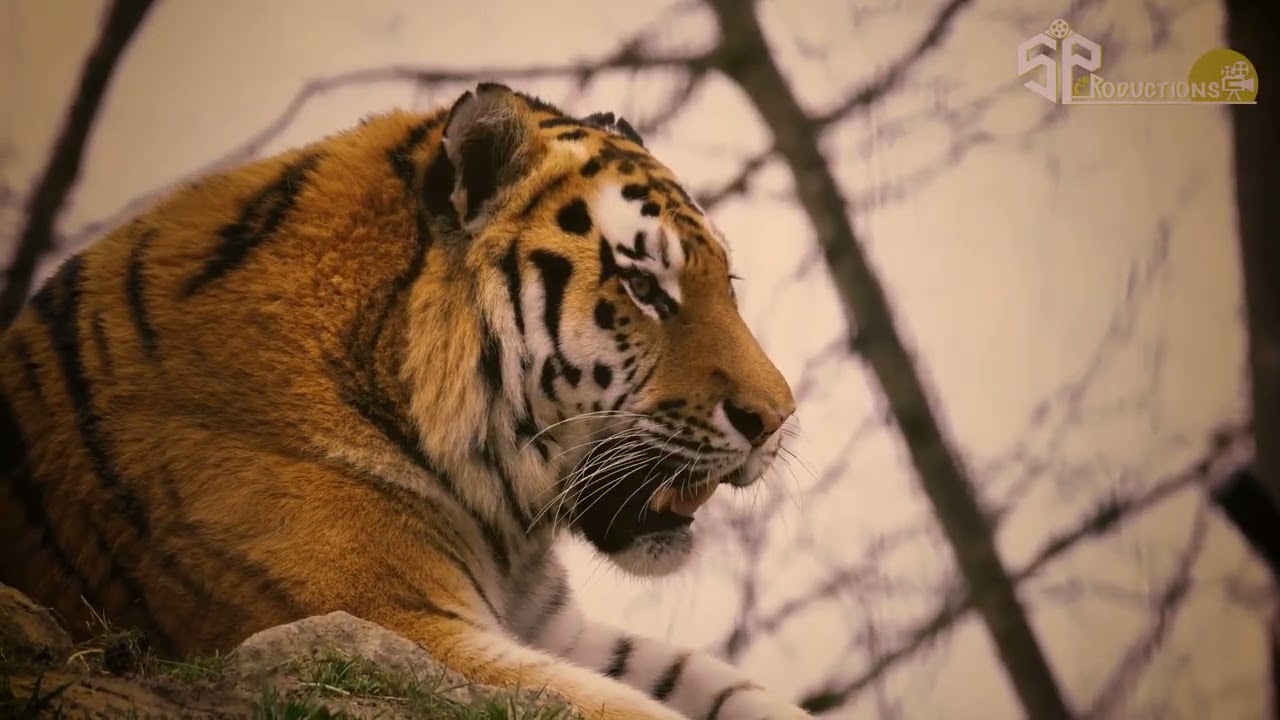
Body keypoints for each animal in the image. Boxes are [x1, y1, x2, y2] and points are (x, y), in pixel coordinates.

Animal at [0, 82, 806, 719]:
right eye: (643, 287)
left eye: (726, 283)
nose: (776, 419)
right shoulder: (387, 622)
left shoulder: (551, 629)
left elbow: (730, 688)